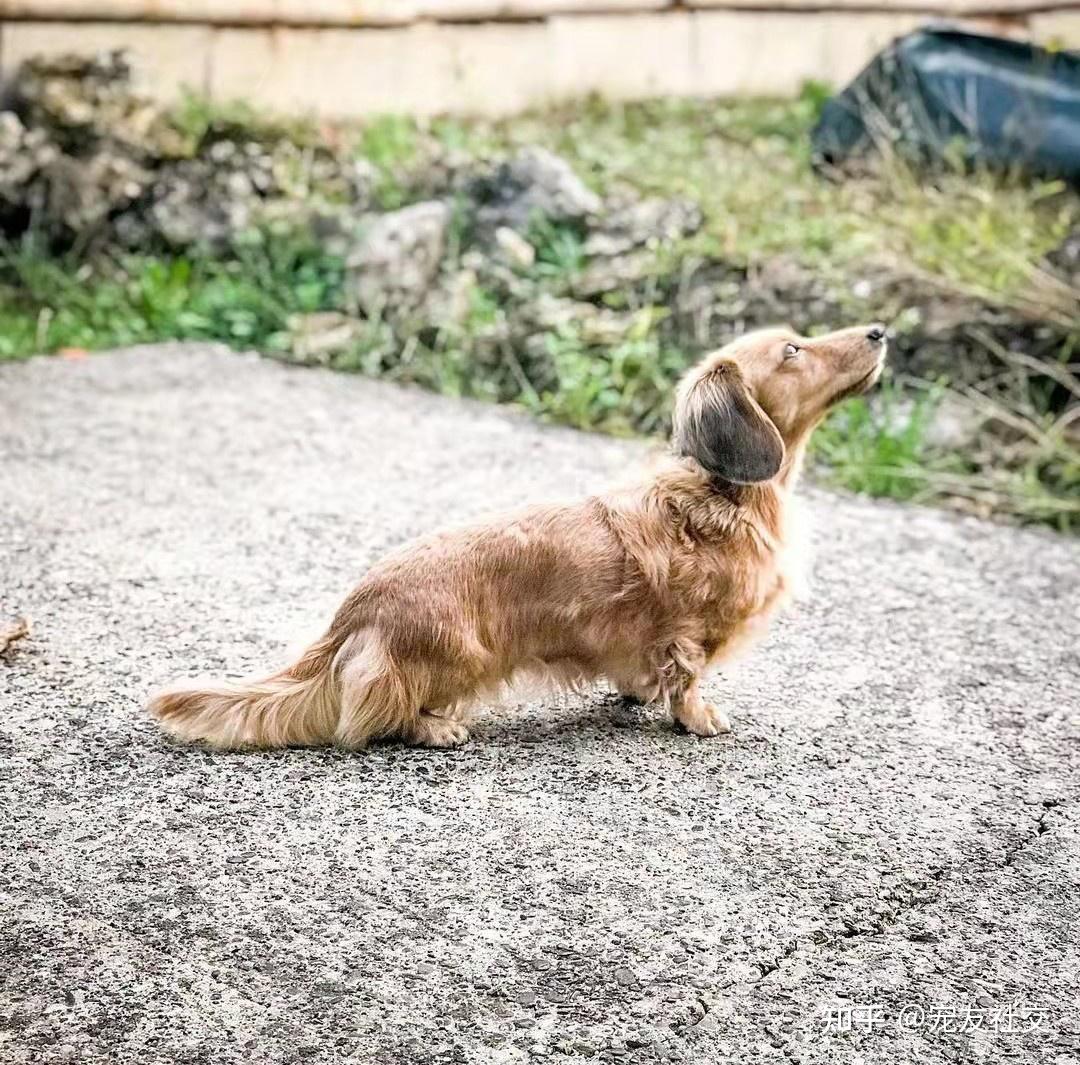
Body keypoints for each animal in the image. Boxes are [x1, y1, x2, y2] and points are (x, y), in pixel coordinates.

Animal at [150, 324, 885, 747]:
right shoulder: (687, 631)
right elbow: (687, 676)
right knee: (367, 717)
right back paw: (435, 728)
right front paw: (696, 717)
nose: (879, 330)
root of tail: (353, 613)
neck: (719, 492)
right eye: (793, 350)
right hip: (460, 657)